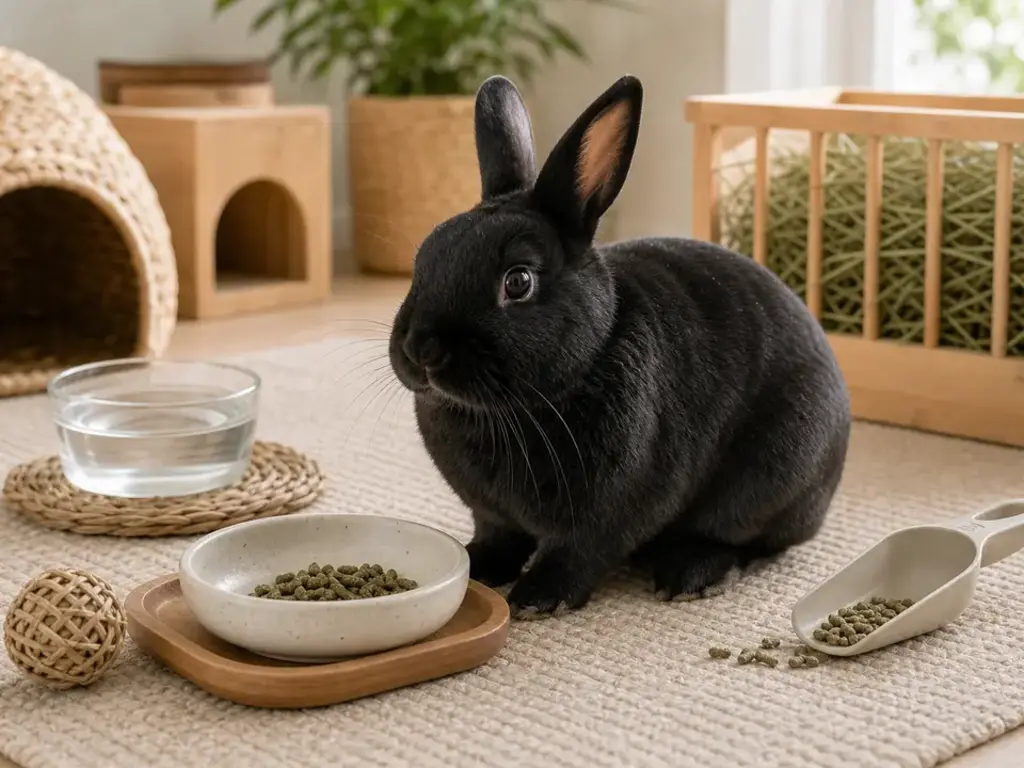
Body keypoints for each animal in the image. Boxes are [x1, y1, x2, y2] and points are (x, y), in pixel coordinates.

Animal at [388, 73, 851, 617]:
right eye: (424, 257)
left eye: (518, 282)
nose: (421, 349)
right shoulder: (492, 514)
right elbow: (500, 536)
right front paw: (477, 565)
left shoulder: (612, 510)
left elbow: (579, 552)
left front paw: (538, 598)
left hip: (770, 478)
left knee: (744, 539)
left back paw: (689, 575)